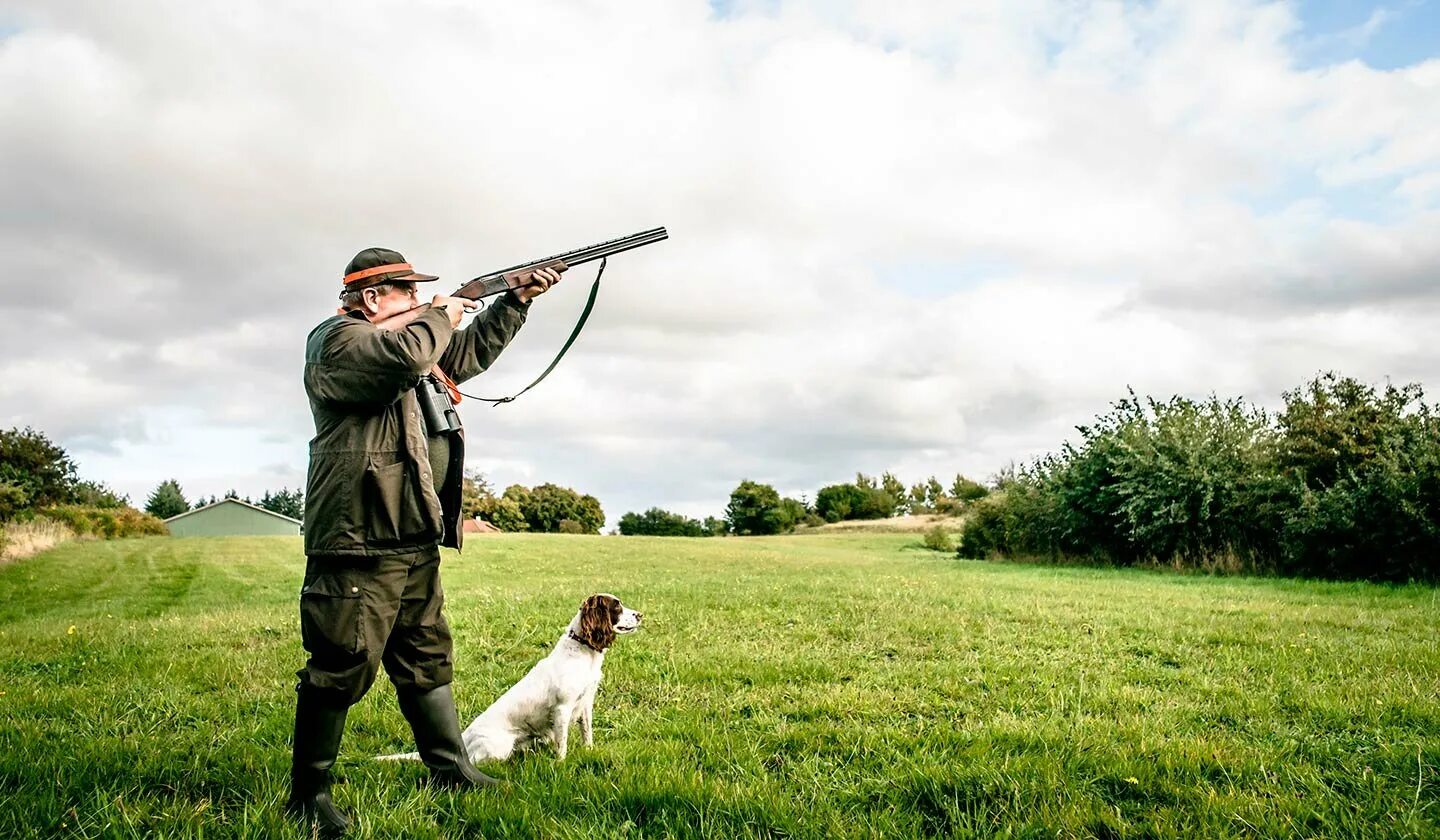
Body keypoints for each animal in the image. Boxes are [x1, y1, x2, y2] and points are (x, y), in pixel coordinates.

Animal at [380, 593, 639, 766]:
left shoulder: (585, 704)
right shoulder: (563, 708)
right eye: (616, 606)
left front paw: (589, 751)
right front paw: (561, 763)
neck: (584, 652)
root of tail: (465, 736)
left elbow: (587, 732)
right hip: (498, 748)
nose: (640, 614)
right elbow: (562, 742)